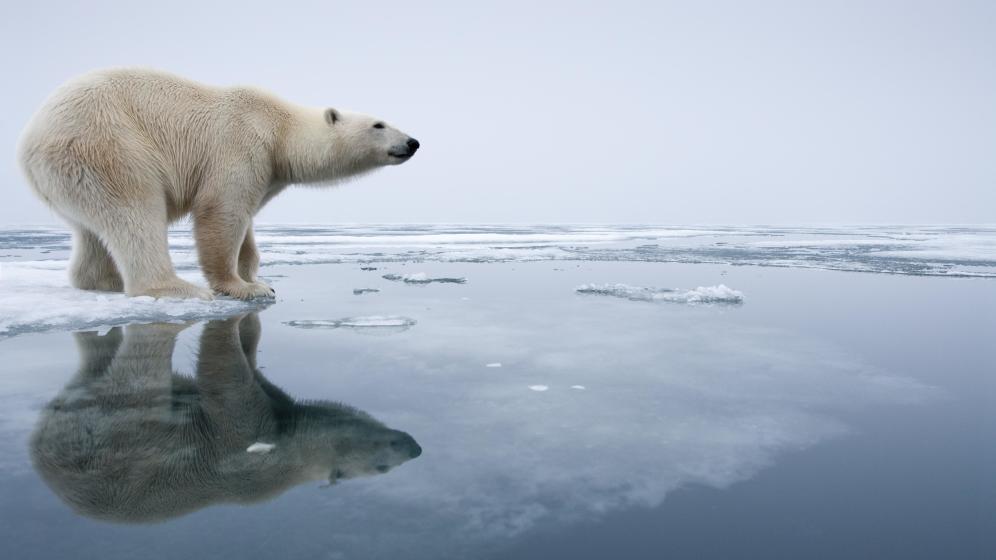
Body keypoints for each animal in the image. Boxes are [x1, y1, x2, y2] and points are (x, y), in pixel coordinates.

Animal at [19, 69, 416, 302]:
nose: (413, 142)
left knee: (91, 229)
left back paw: (105, 281)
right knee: (135, 211)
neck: (279, 129)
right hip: (107, 145)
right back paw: (177, 288)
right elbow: (221, 212)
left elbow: (247, 223)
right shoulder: (241, 144)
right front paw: (244, 287)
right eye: (379, 124)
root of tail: (28, 144)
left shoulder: (266, 171)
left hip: (73, 174)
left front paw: (257, 275)